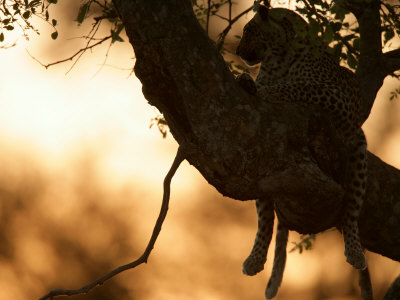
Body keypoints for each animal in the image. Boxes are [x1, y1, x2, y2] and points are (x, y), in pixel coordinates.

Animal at [234, 4, 368, 300]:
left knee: (353, 208)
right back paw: (254, 260)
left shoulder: (334, 97)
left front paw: (261, 88)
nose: (236, 52)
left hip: (358, 148)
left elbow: (296, 86)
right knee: (265, 218)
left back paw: (355, 252)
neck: (279, 57)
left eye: (248, 31)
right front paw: (250, 82)